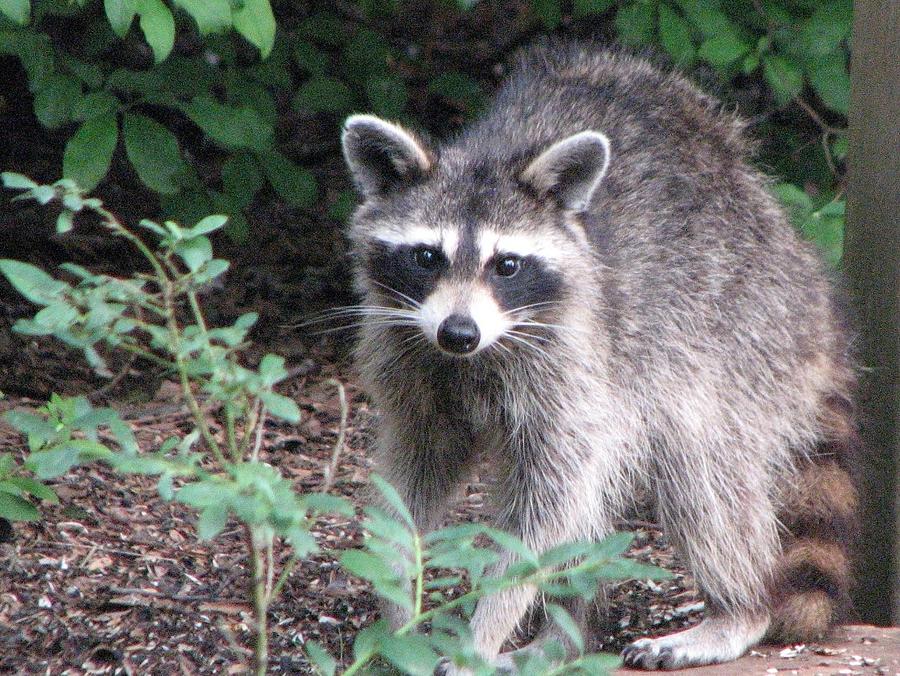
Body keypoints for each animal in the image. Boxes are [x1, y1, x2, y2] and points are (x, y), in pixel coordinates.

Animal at [338, 42, 856, 672]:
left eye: (505, 265)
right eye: (426, 257)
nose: (459, 333)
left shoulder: (571, 364)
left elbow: (543, 515)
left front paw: (480, 633)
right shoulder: (411, 361)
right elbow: (411, 482)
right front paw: (397, 610)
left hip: (740, 334)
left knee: (700, 472)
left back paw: (736, 608)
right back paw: (566, 636)